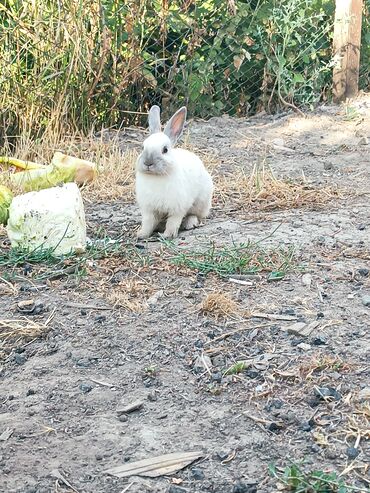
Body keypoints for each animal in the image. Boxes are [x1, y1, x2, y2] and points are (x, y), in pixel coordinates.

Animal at [135, 105, 214, 240]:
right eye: (143, 147)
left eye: (165, 150)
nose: (148, 163)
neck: (157, 176)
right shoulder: (149, 209)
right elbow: (148, 223)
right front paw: (141, 234)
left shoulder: (177, 208)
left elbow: (173, 222)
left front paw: (167, 235)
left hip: (201, 202)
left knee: (194, 215)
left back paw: (190, 224)